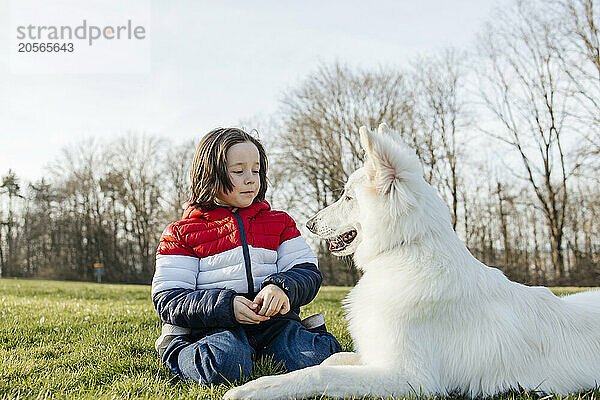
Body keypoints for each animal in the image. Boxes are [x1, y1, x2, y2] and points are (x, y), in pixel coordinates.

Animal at [225, 124, 600, 400]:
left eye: (348, 197)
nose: (310, 223)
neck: (404, 250)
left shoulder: (410, 379)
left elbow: (320, 372)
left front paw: (254, 389)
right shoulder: (375, 356)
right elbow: (334, 359)